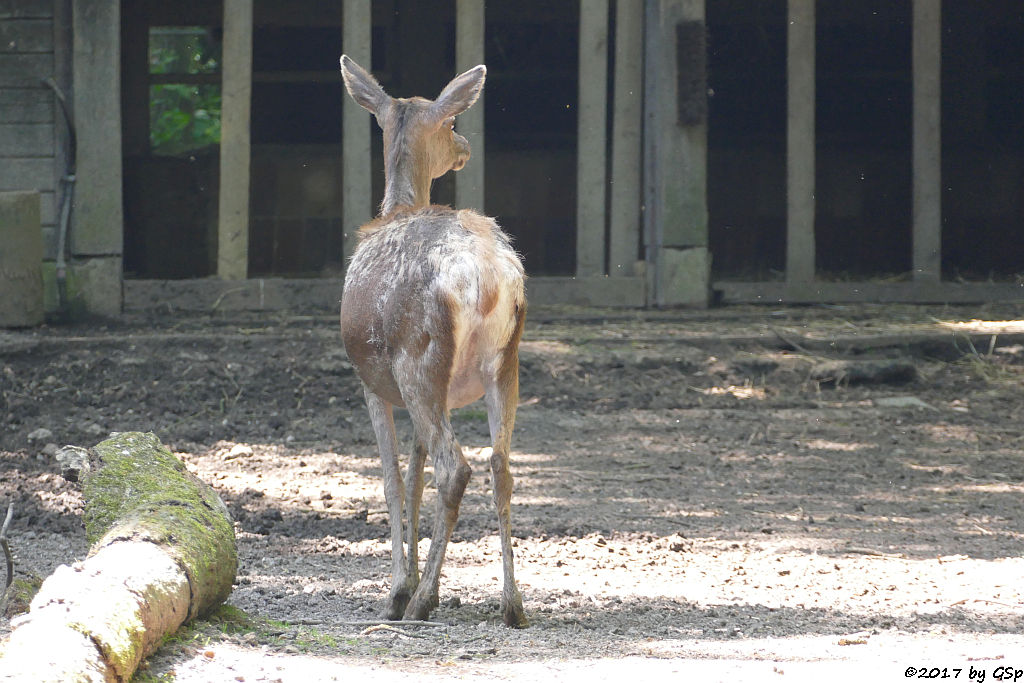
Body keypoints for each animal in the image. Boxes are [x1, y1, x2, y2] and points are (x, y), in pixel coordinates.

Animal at [337, 56, 528, 626]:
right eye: (450, 122)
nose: (463, 145)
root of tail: (484, 279)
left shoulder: (372, 383)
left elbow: (392, 479)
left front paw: (399, 589)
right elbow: (414, 471)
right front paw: (428, 582)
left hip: (418, 357)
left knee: (455, 466)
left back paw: (419, 604)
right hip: (503, 362)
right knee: (500, 465)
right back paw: (513, 604)